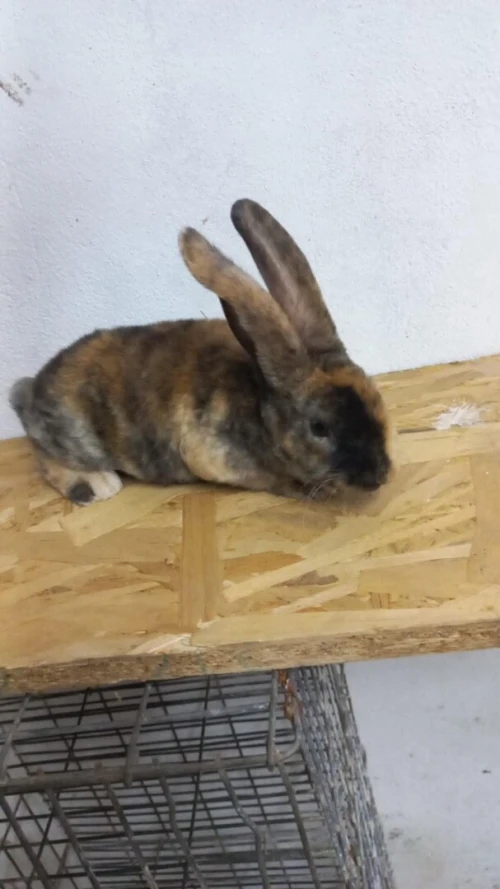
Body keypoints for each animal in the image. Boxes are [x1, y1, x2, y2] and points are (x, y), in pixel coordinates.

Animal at [9, 199, 392, 506]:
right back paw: (96, 485)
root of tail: (31, 390)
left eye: (375, 396)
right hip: (75, 435)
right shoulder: (208, 453)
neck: (260, 409)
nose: (380, 475)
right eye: (319, 427)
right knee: (45, 452)